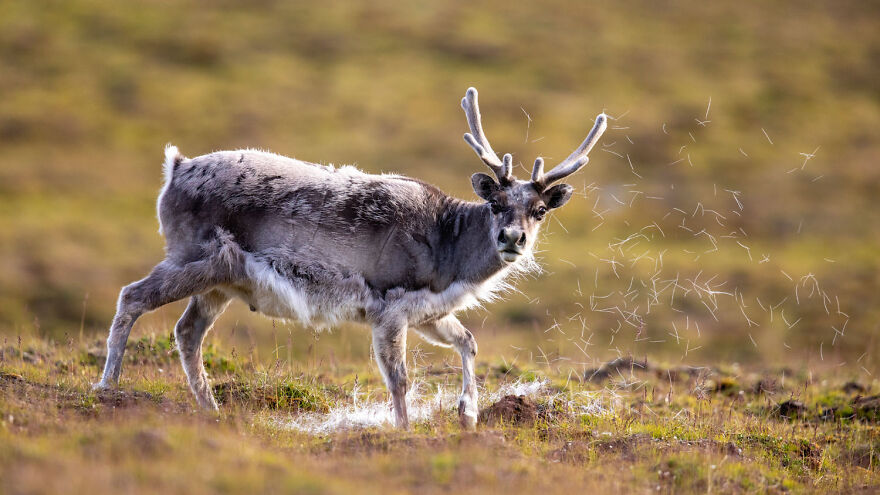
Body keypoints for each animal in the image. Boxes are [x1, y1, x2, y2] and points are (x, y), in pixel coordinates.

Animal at [93, 87, 607, 429]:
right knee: (132, 296)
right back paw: (108, 387)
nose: (512, 238)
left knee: (187, 331)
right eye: (496, 203)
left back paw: (211, 408)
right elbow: (400, 378)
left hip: (221, 282)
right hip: (192, 257)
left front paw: (468, 414)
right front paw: (404, 431)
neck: (450, 250)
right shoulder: (390, 308)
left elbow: (470, 342)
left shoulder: (429, 312)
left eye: (539, 210)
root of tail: (175, 168)